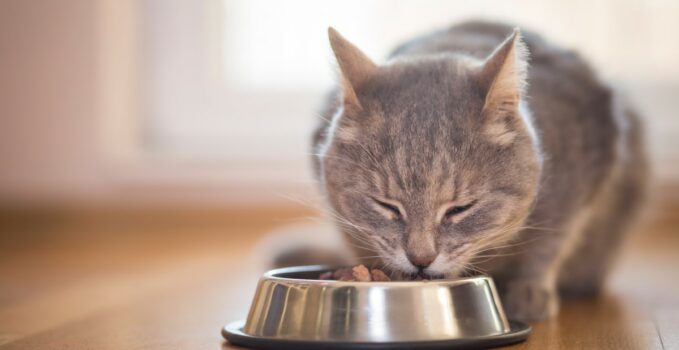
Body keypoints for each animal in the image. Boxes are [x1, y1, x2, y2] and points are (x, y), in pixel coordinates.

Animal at [306, 22, 652, 322]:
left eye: (460, 209)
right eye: (386, 206)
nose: (420, 259)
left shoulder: (582, 175)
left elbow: (550, 242)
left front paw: (530, 290)